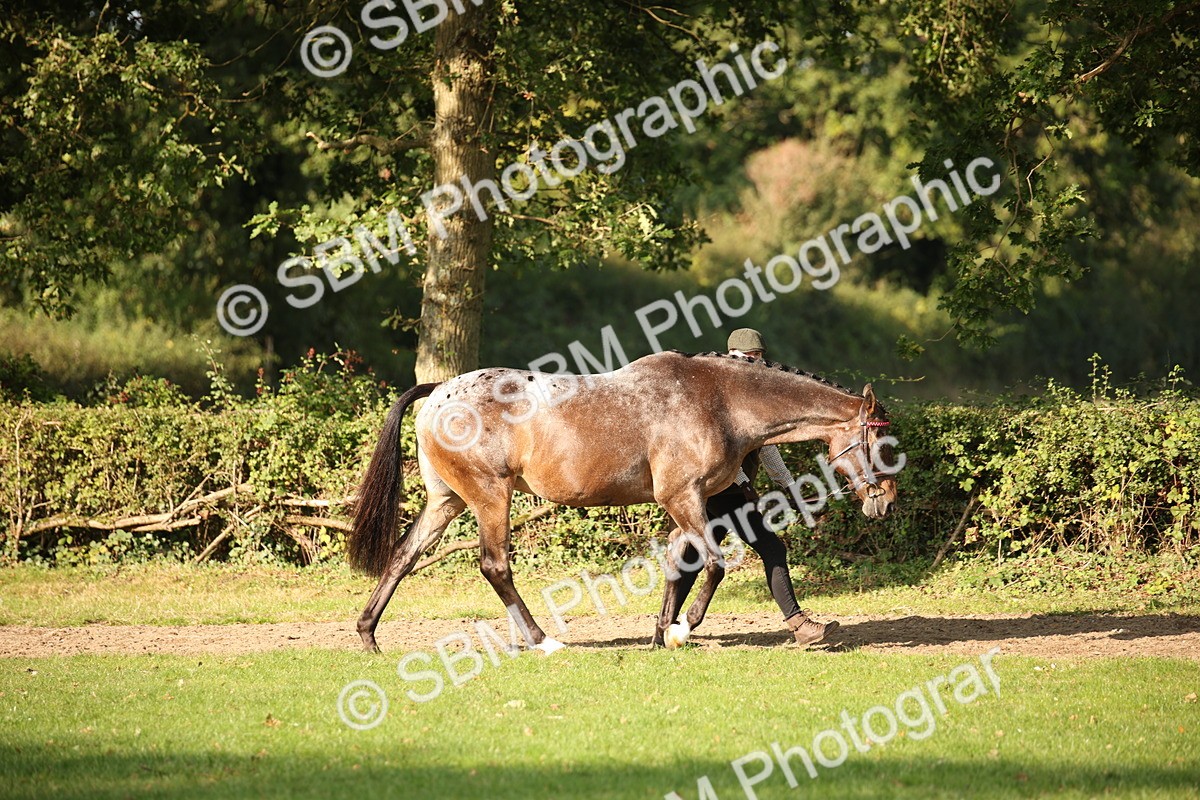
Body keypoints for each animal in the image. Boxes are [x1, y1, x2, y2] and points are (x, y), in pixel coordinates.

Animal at [348, 350, 898, 653]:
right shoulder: (683, 497)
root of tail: (440, 390)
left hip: (447, 502)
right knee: (494, 566)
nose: (887, 503)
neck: (720, 401)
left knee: (403, 557)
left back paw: (369, 636)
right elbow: (715, 565)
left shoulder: (694, 505)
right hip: (490, 497)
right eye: (883, 444)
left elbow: (684, 563)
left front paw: (663, 632)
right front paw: (681, 630)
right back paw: (544, 641)